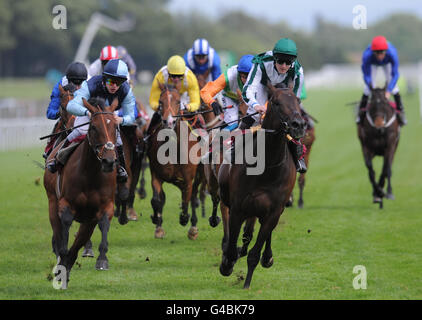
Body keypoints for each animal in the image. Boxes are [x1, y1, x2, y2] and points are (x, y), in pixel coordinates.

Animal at [44, 97, 118, 288]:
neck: (90, 174)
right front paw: (62, 267)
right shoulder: (65, 205)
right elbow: (64, 235)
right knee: (57, 234)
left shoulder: (105, 206)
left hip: (88, 219)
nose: (109, 161)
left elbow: (103, 225)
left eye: (116, 127)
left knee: (79, 241)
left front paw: (102, 260)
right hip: (52, 201)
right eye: (94, 127)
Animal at [148, 83, 202, 240]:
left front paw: (184, 219)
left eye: (178, 102)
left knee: (194, 197)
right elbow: (157, 200)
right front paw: (157, 224)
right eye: (160, 102)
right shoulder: (156, 174)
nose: (169, 122)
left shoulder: (189, 179)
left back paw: (193, 228)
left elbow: (186, 201)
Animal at [216, 84, 304, 288]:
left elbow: (255, 252)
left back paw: (267, 257)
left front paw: (247, 283)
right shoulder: (238, 208)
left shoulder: (273, 211)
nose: (297, 124)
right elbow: (231, 247)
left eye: (298, 100)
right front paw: (226, 265)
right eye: (276, 102)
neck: (267, 168)